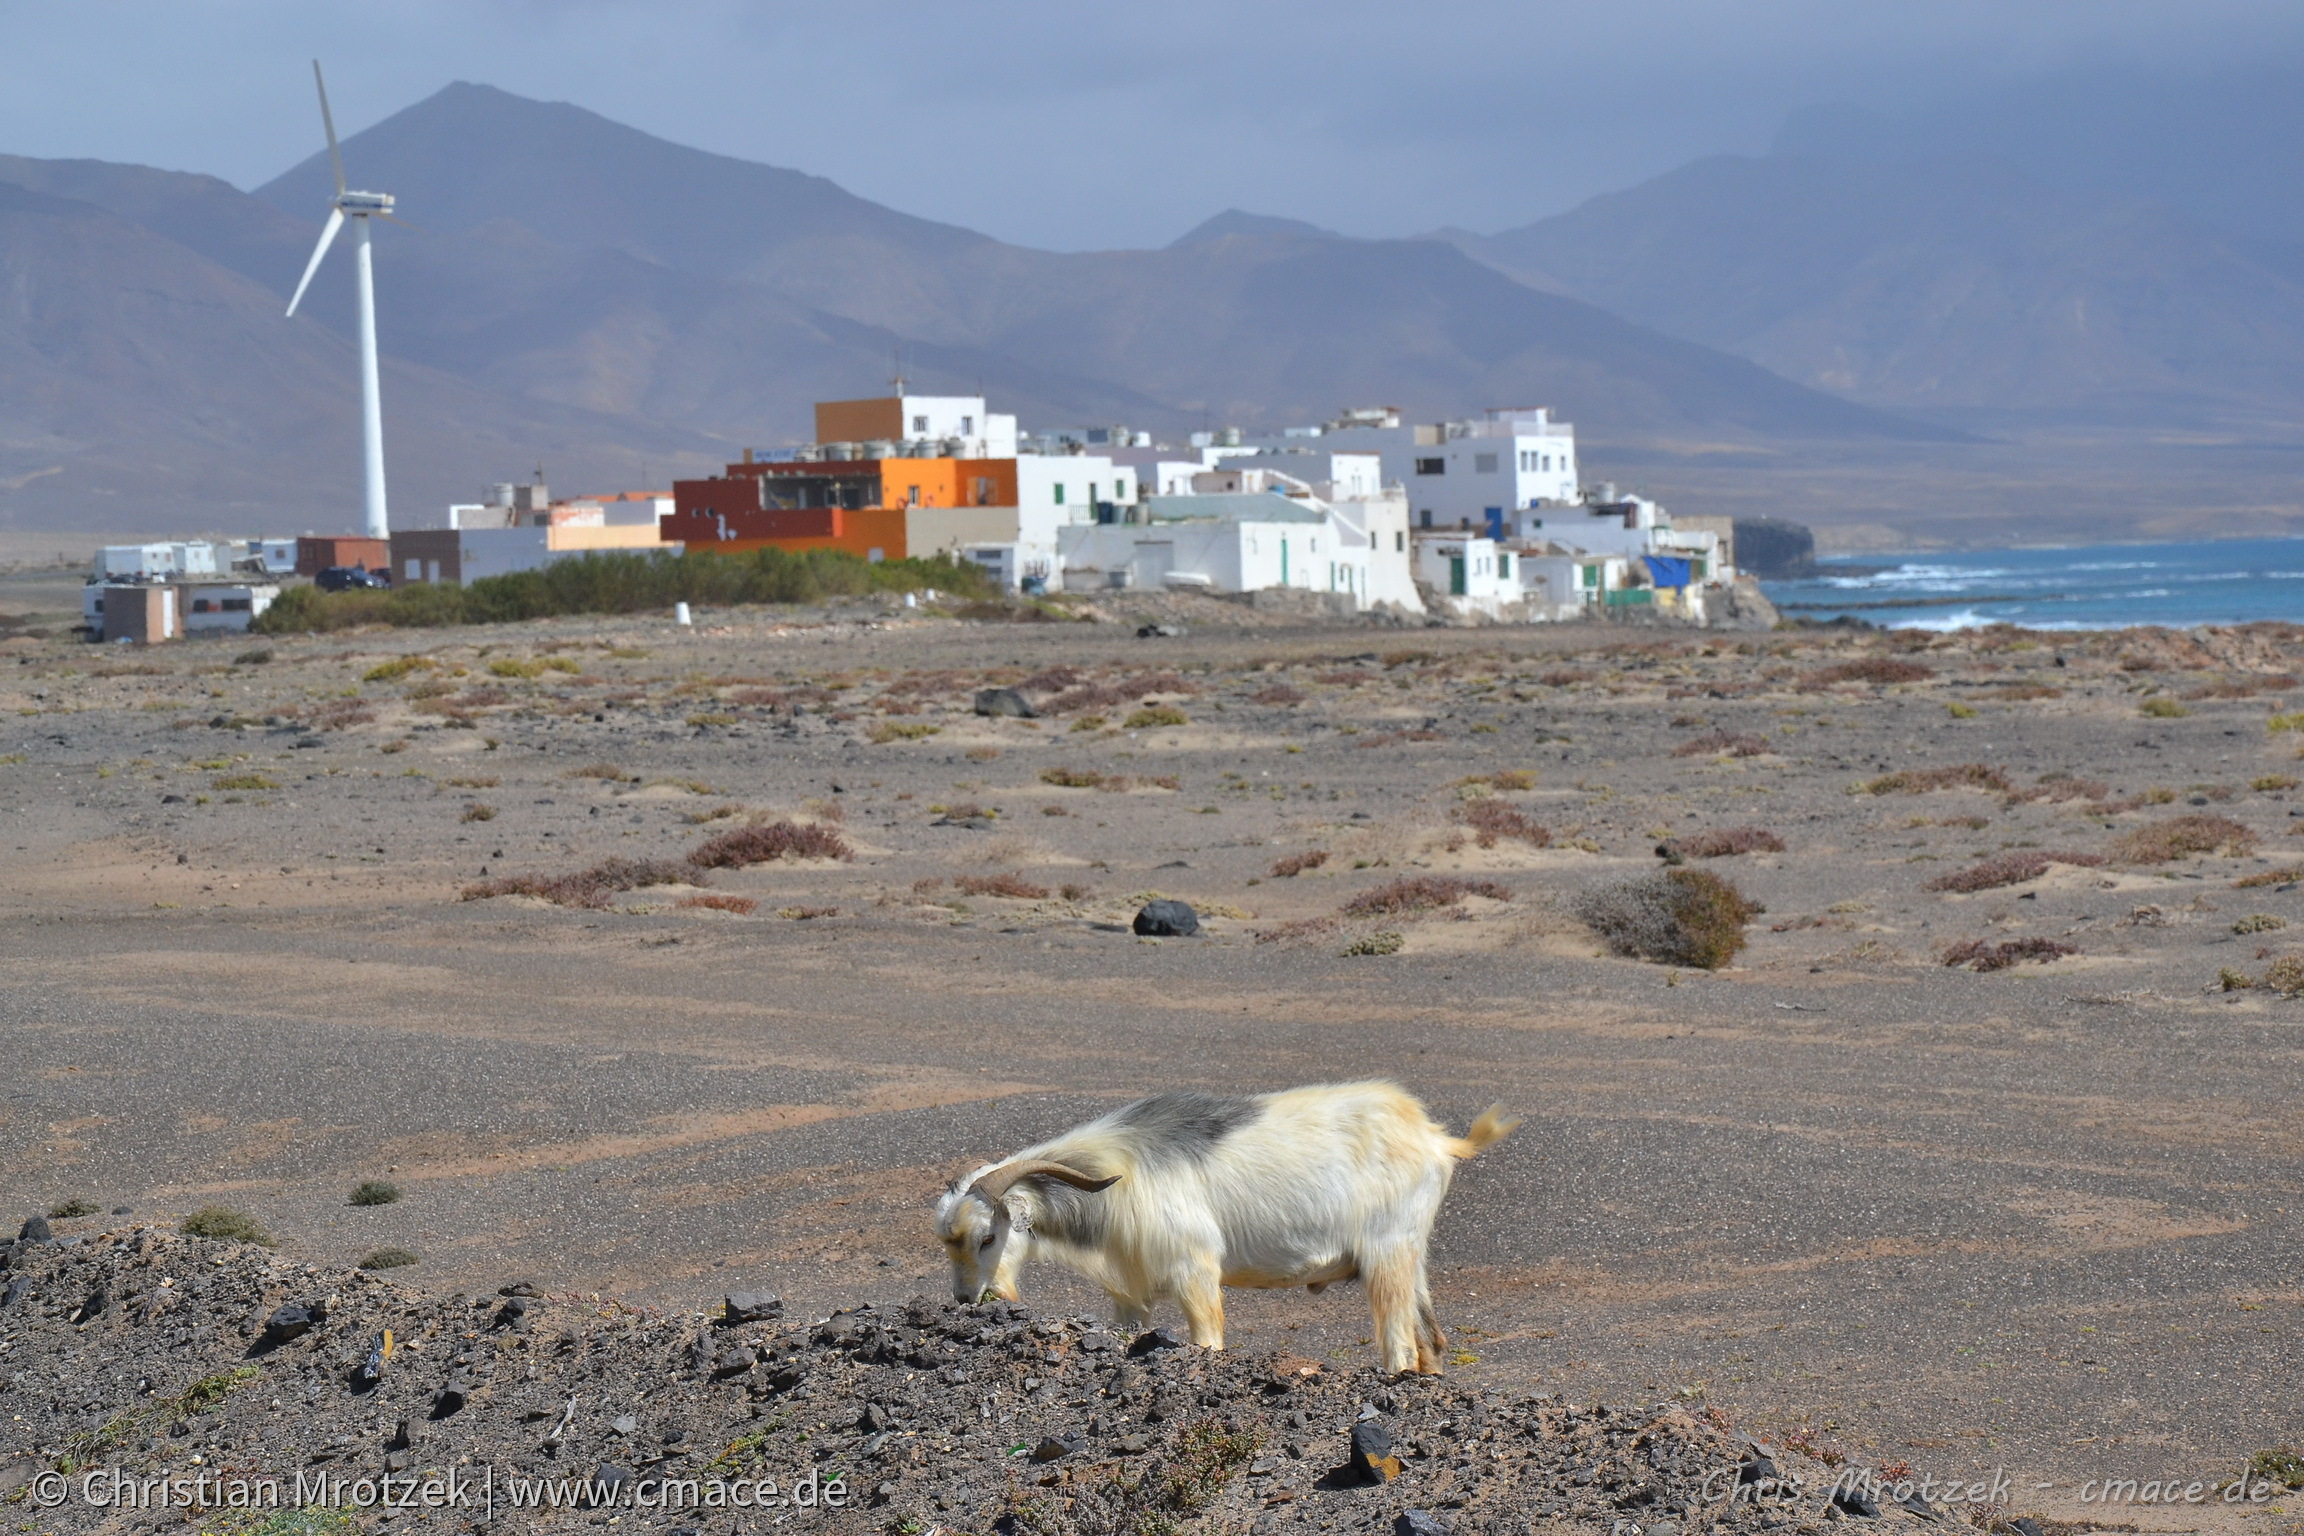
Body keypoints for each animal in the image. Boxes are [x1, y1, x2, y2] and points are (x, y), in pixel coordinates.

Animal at [926, 1082, 1520, 1381]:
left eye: (987, 1237)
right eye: (948, 1244)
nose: (968, 1300)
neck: (1119, 1173)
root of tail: (1437, 1140)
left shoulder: (1195, 1273)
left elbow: (1208, 1342)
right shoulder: (1129, 1295)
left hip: (1387, 1256)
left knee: (1399, 1347)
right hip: (1411, 1256)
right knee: (1431, 1343)